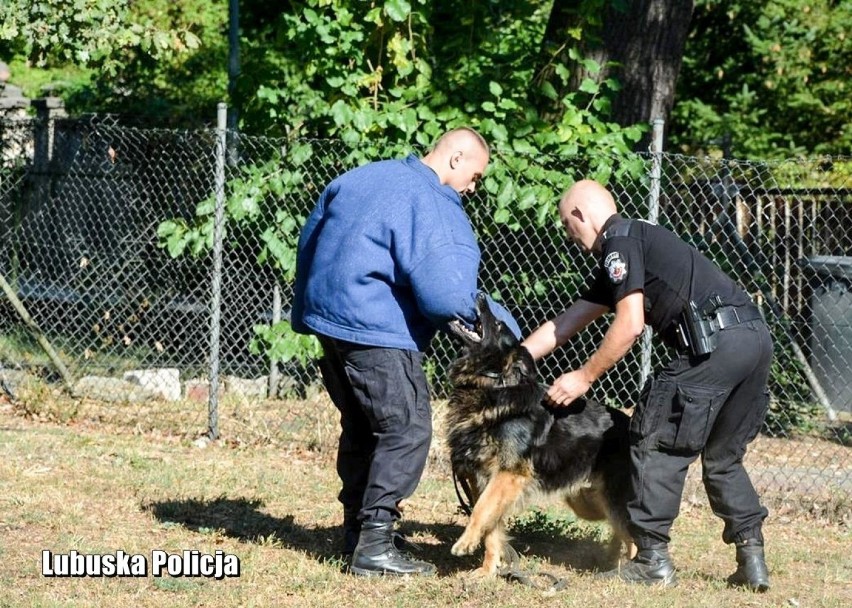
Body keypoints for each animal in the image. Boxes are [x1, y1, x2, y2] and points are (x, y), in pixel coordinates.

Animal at [446, 294, 632, 576]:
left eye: (498, 325)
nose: (479, 296)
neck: (495, 384)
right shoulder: (483, 478)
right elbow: (491, 528)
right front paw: (488, 571)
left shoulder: (508, 475)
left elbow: (481, 510)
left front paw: (465, 542)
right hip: (588, 502)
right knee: (620, 530)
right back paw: (613, 561)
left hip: (612, 500)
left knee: (634, 535)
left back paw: (632, 571)